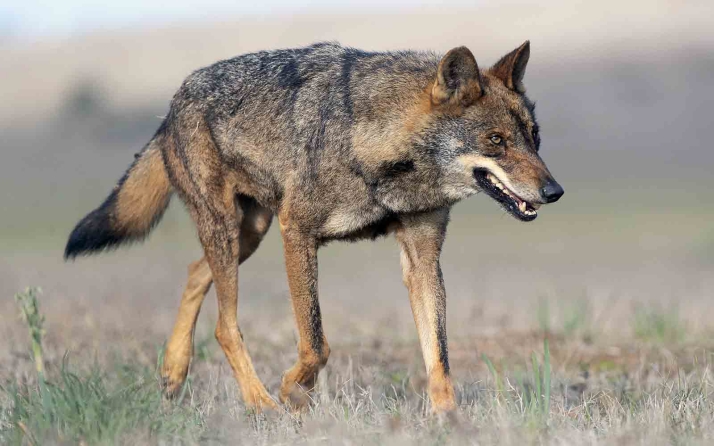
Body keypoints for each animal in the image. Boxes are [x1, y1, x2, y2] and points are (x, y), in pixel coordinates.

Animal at [65, 41, 563, 413]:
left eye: (535, 137)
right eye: (496, 141)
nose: (554, 191)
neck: (375, 148)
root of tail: (172, 102)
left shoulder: (422, 259)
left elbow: (438, 355)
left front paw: (449, 421)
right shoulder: (297, 234)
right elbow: (317, 343)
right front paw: (292, 393)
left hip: (249, 234)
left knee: (193, 273)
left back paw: (173, 373)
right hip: (232, 231)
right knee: (226, 325)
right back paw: (261, 405)